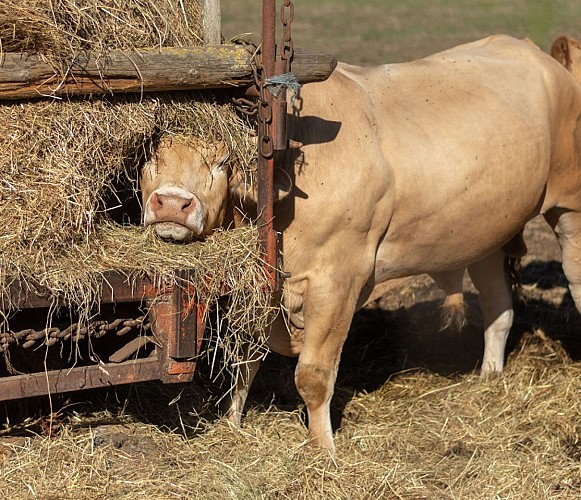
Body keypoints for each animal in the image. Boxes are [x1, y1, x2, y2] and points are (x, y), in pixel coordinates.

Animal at [139, 33, 580, 452]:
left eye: (222, 160)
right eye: (149, 155)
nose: (172, 203)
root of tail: (532, 51)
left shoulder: (337, 280)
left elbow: (313, 375)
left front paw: (323, 449)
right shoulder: (264, 286)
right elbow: (244, 359)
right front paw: (232, 424)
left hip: (569, 208)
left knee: (572, 279)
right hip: (482, 231)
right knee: (498, 308)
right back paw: (489, 376)